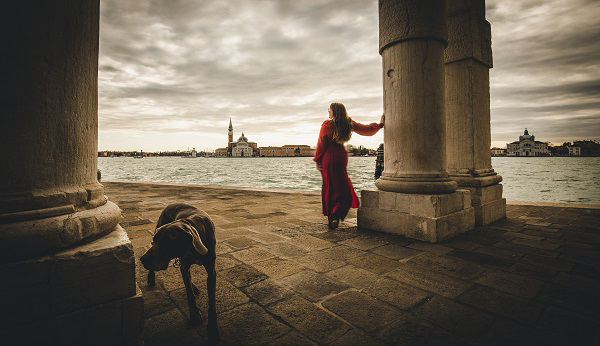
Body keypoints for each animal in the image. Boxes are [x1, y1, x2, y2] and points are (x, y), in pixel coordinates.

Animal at [141, 204, 218, 342]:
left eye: (167, 241)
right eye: (155, 240)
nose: (142, 259)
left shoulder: (211, 271)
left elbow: (211, 301)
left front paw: (213, 329)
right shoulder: (184, 265)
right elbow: (189, 294)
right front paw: (194, 316)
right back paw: (151, 278)